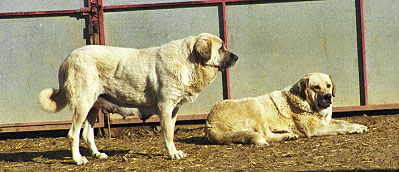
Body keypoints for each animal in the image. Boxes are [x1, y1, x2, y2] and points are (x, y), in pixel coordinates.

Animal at [38, 33, 238, 164]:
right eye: (221, 47)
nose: (236, 57)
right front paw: (172, 154)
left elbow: (171, 132)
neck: (189, 61)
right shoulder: (165, 107)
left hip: (92, 106)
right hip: (83, 105)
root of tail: (67, 59)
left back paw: (97, 154)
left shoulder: (174, 110)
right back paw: (78, 159)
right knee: (73, 134)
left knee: (87, 134)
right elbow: (168, 134)